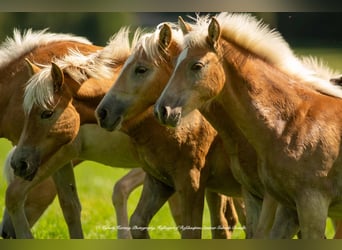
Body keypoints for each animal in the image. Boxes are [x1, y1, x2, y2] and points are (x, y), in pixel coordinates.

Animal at [155, 13, 342, 238]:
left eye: (197, 66)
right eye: (175, 64)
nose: (163, 110)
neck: (293, 123)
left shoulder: (312, 206)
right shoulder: (287, 208)